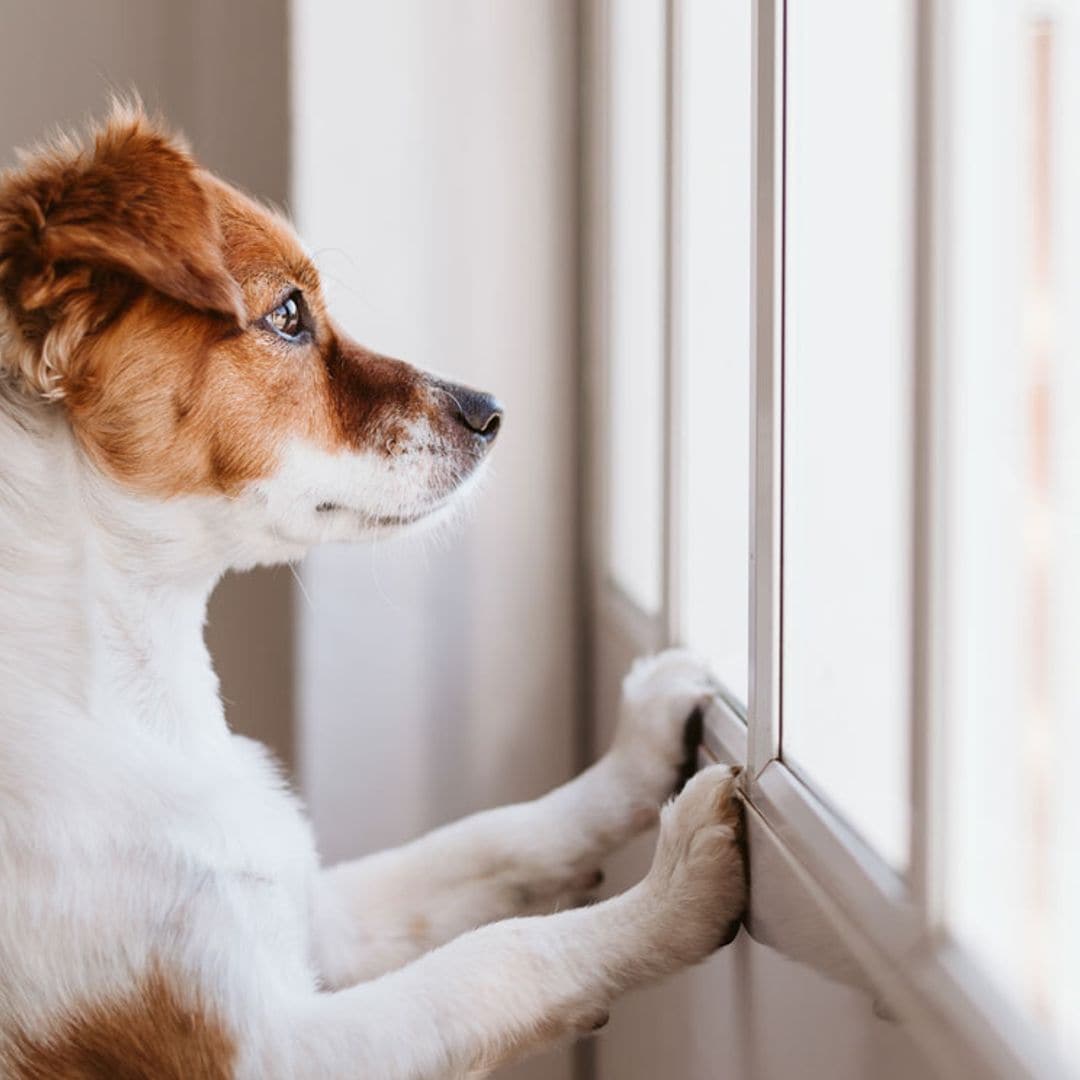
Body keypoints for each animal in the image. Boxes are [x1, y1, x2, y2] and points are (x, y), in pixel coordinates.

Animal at [0, 107, 743, 1080]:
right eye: (286, 314)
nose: (492, 410)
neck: (129, 697)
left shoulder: (314, 914)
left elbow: (488, 838)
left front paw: (638, 750)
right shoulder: (268, 1049)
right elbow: (497, 960)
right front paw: (676, 889)